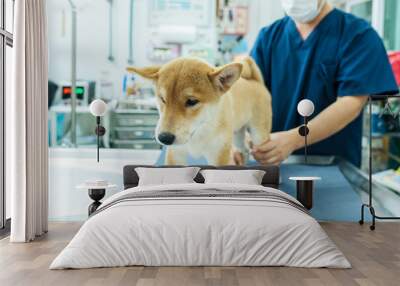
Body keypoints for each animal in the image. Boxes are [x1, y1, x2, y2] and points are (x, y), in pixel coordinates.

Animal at [128, 56, 272, 165]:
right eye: (162, 99)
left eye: (191, 101)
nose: (164, 138)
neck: (198, 132)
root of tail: (256, 81)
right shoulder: (175, 154)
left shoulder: (219, 155)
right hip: (237, 134)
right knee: (245, 150)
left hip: (259, 137)